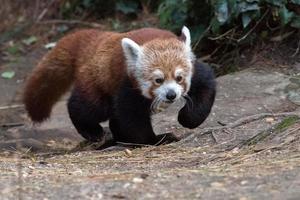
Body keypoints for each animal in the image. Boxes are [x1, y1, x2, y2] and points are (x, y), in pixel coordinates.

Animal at [24, 26, 216, 145]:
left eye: (179, 78)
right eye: (158, 80)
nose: (171, 95)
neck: (155, 38)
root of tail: (97, 41)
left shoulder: (195, 70)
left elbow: (206, 87)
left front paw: (187, 118)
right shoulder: (126, 84)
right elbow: (131, 116)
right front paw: (154, 140)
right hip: (98, 82)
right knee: (86, 107)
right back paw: (92, 131)